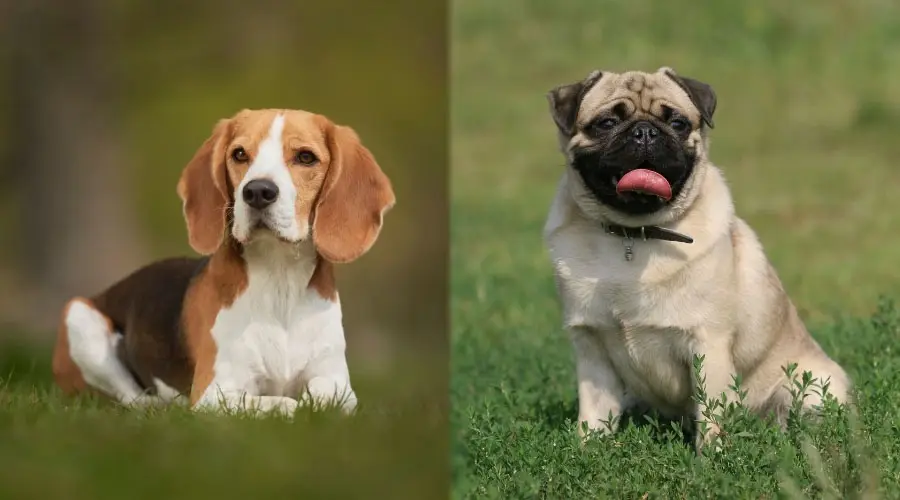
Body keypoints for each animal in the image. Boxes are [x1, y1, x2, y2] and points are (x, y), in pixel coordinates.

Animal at [51, 108, 396, 414]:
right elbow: (282, 404)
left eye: (306, 157)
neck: (279, 278)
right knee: (129, 398)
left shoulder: (337, 382)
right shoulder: (215, 393)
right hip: (79, 318)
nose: (257, 191)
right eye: (240, 154)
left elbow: (325, 397)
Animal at [540, 66, 852, 446]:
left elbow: (711, 411)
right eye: (606, 123)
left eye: (677, 123)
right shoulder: (592, 347)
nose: (645, 131)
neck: (634, 234)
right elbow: (594, 416)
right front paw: (589, 451)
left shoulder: (708, 343)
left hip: (813, 389)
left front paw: (714, 456)